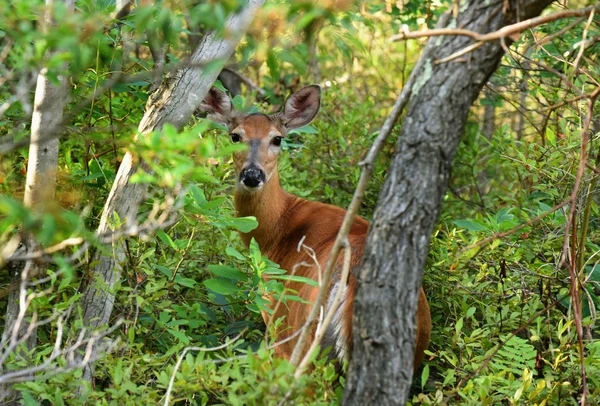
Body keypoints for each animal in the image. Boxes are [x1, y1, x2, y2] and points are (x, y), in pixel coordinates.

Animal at [203, 85, 432, 372]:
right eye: (235, 136)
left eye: (277, 139)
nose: (253, 175)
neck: (277, 231)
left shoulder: (274, 318)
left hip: (301, 339)